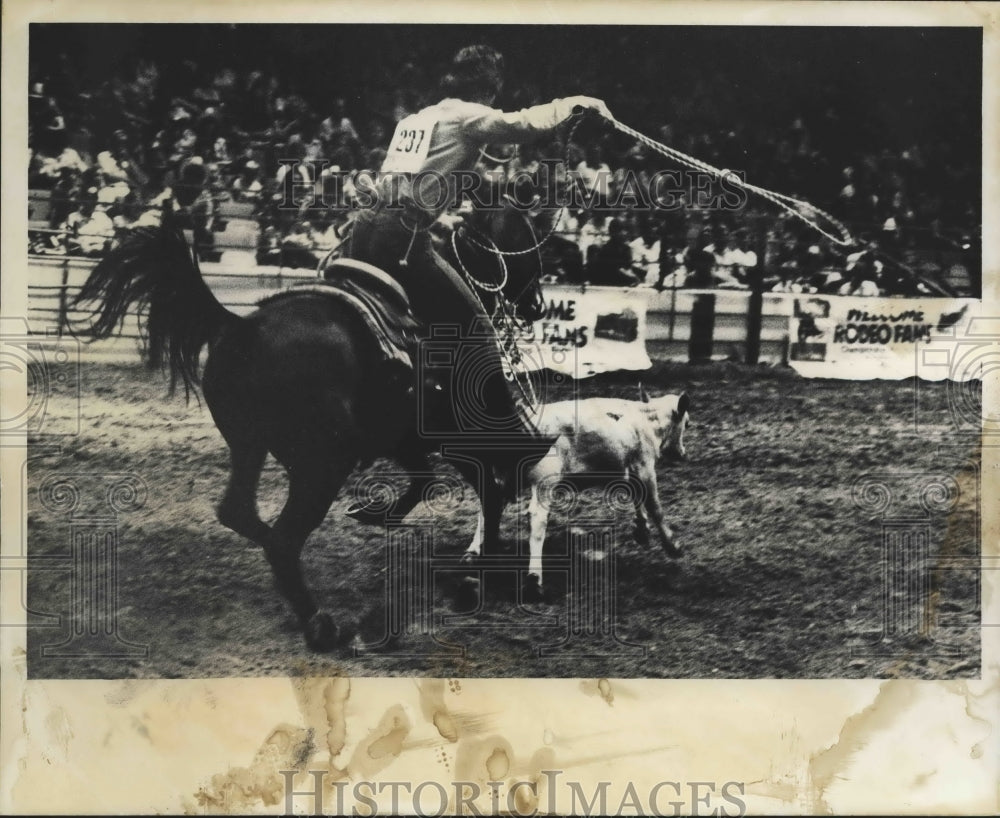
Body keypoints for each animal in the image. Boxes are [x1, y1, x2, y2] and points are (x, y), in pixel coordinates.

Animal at [76, 201, 548, 648]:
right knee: (284, 538)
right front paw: (477, 569)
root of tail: (242, 326)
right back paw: (321, 624)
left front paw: (378, 514)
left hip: (250, 445)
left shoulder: (405, 434)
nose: (538, 305)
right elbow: (485, 487)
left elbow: (427, 479)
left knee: (240, 513)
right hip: (325, 461)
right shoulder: (456, 429)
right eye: (526, 236)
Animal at [464, 388, 692, 592]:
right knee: (536, 518)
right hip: (544, 481)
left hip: (503, 477)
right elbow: (655, 507)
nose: (683, 454)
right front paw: (672, 546)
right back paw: (534, 577)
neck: (647, 418)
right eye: (687, 423)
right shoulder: (644, 467)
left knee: (489, 506)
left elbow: (637, 499)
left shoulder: (626, 470)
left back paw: (473, 552)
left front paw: (642, 530)